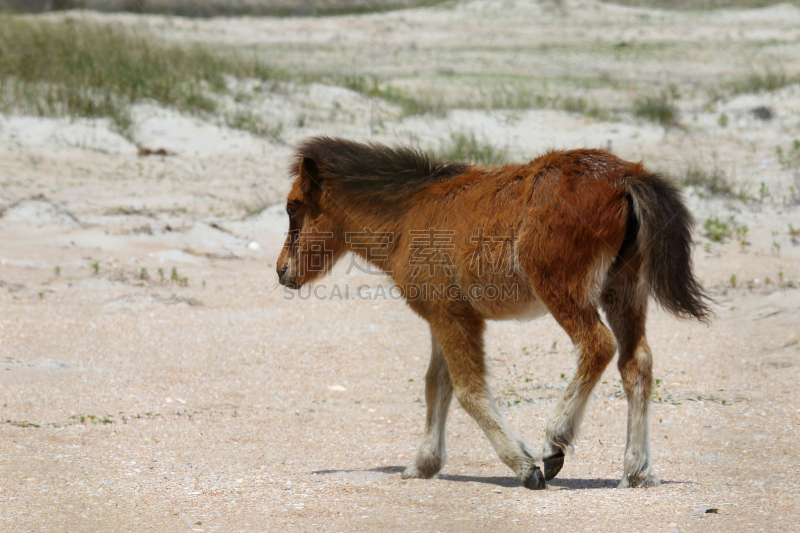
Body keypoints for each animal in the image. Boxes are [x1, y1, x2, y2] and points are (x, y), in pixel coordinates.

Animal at [278, 135, 708, 488]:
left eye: (293, 208)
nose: (282, 270)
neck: (410, 215)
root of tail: (625, 176)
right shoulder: (443, 315)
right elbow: (437, 385)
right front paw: (423, 464)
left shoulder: (455, 319)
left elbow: (468, 390)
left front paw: (524, 465)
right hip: (623, 291)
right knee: (636, 362)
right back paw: (634, 470)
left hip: (563, 290)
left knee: (597, 346)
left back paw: (555, 441)